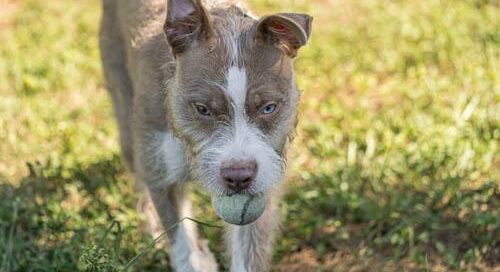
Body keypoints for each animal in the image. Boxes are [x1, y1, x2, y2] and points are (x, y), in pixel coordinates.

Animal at [100, 0, 312, 270]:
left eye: (269, 108)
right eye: (202, 109)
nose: (238, 175)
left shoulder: (263, 180)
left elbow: (248, 249)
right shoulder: (161, 174)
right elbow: (181, 239)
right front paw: (194, 259)